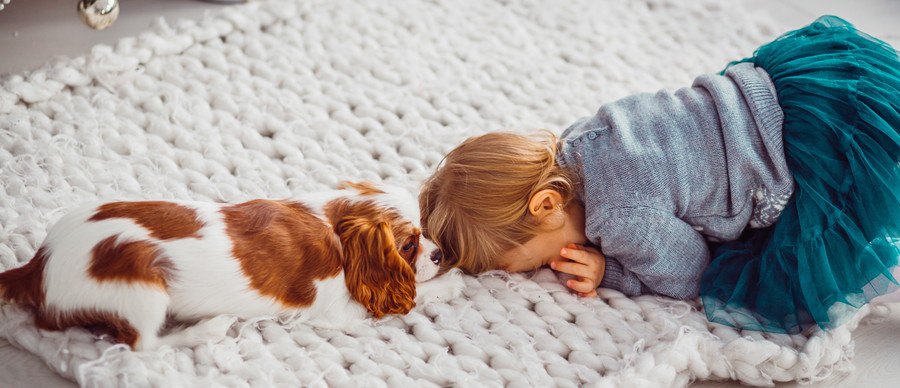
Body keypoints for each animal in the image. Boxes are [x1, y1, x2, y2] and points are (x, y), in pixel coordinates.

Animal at [0, 183, 464, 352]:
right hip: (141, 284)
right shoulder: (340, 310)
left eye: (425, 231)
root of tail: (37, 266)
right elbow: (414, 294)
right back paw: (208, 329)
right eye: (408, 245)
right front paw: (452, 283)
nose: (439, 253)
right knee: (142, 345)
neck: (334, 224)